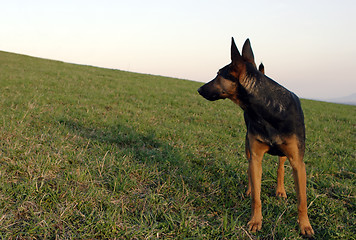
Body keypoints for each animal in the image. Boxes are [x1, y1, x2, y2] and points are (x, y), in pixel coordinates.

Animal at [197, 37, 314, 236]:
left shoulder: (298, 162)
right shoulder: (256, 155)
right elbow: (257, 197)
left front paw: (305, 226)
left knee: (280, 168)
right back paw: (251, 190)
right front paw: (255, 221)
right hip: (248, 149)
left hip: (285, 155)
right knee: (250, 170)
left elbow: (302, 201)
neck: (266, 109)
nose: (199, 89)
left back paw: (280, 191)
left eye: (218, 74)